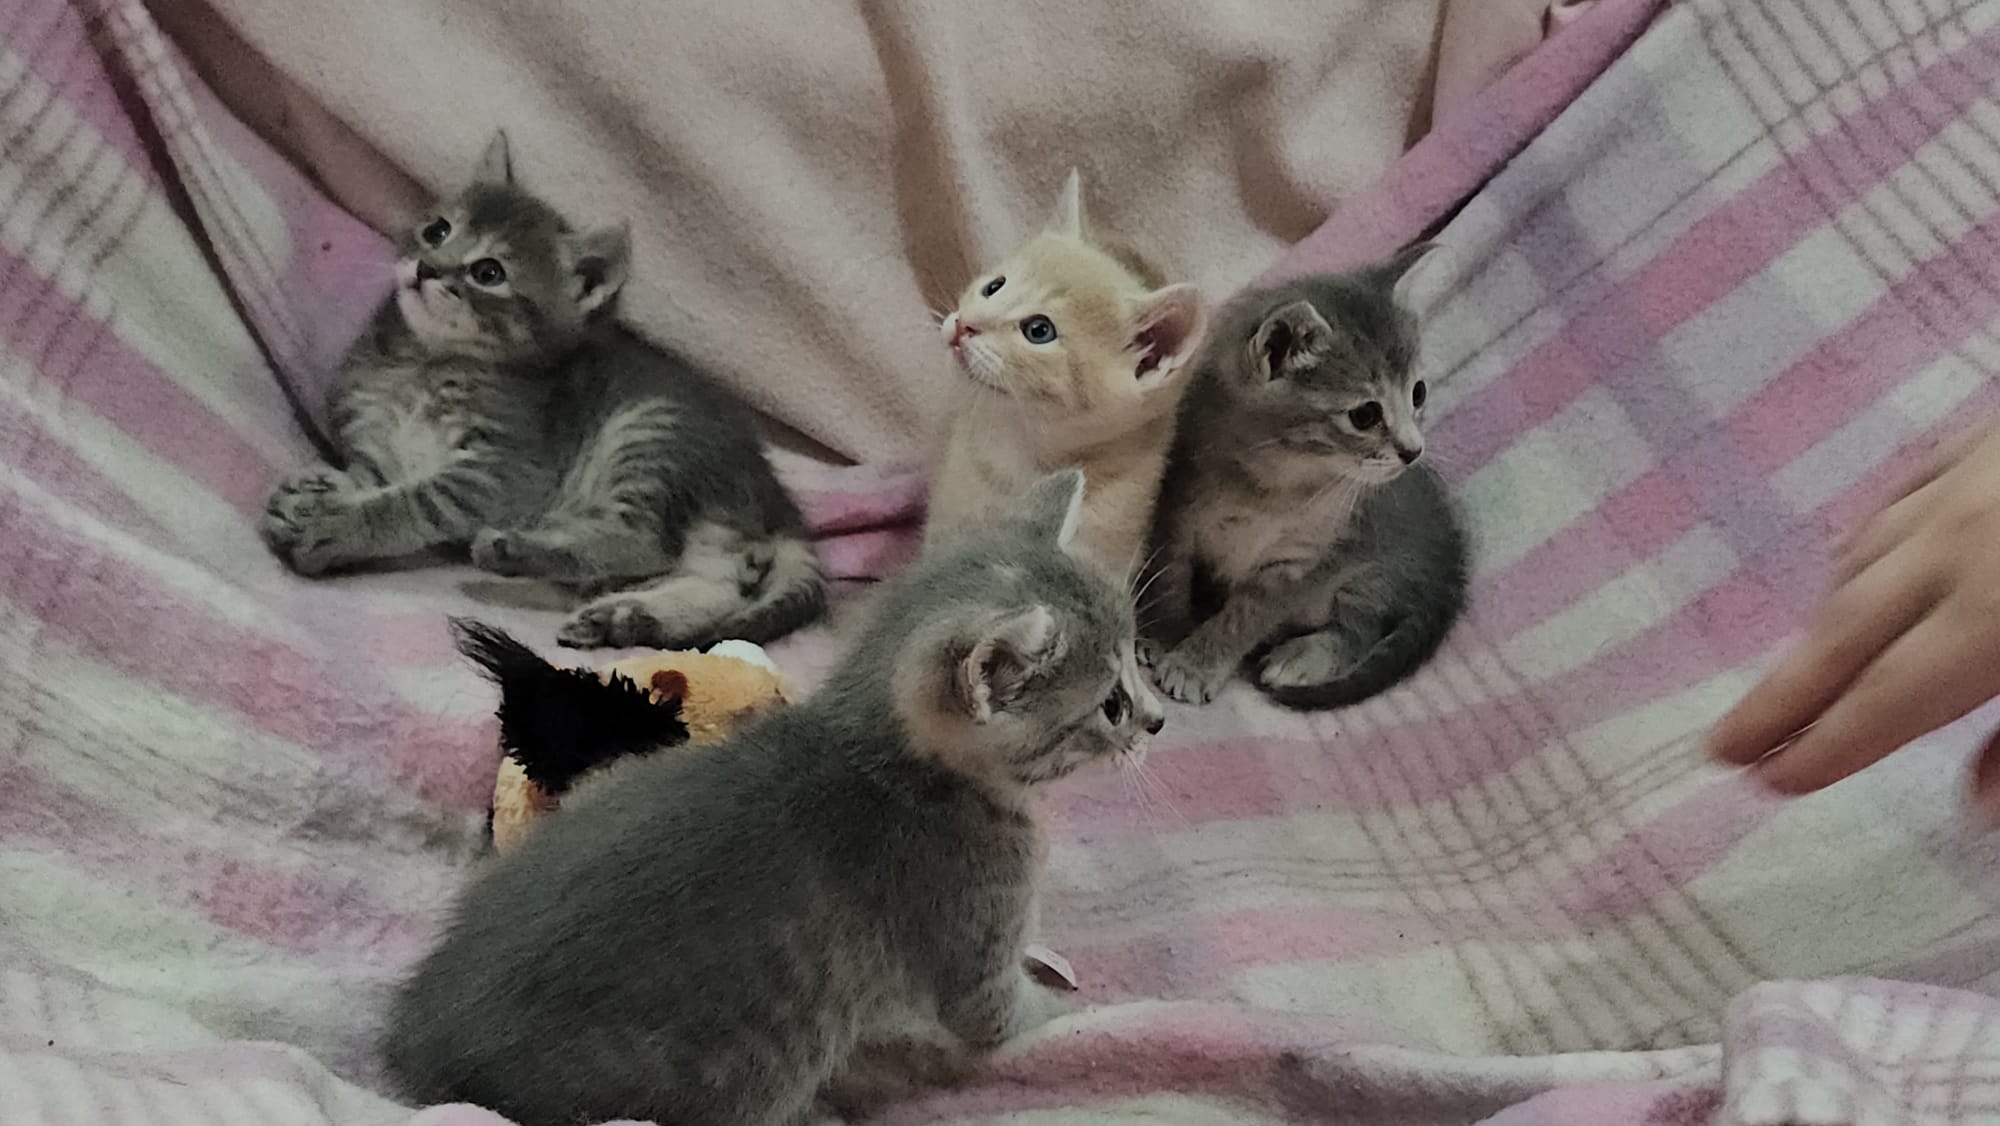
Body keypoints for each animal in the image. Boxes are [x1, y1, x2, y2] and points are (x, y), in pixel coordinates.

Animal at [262, 133, 823, 651]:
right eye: (437, 230)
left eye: (488, 272)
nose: (427, 268)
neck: (424, 364)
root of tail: (771, 493)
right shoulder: (381, 445)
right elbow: (371, 477)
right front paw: (317, 490)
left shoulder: (505, 472)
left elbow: (416, 501)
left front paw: (339, 527)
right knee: (718, 584)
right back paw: (628, 616)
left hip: (650, 433)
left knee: (646, 540)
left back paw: (518, 552)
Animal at [382, 469, 1165, 1126]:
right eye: (1112, 705)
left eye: (1137, 656)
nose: (1158, 719)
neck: (896, 764)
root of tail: (426, 1046)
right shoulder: (973, 951)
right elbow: (1010, 1016)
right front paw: (1088, 1011)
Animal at [1140, 245, 1467, 708]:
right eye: (1365, 415)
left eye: (1417, 393)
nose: (1413, 451)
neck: (1271, 485)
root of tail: (1452, 563)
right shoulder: (1176, 512)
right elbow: (1168, 579)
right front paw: (1165, 633)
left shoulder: (1296, 562)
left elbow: (1245, 617)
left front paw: (1195, 664)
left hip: (1370, 579)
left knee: (1360, 631)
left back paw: (1302, 656)